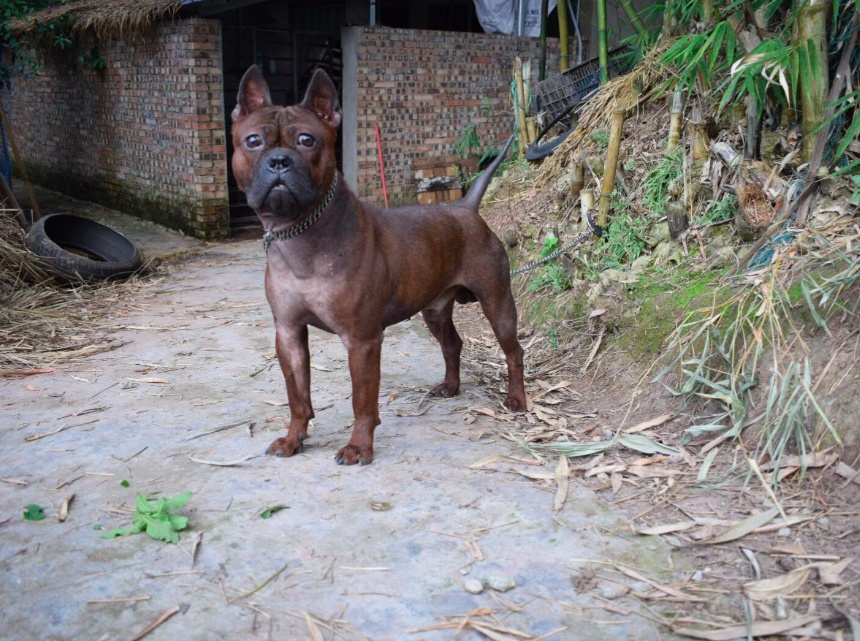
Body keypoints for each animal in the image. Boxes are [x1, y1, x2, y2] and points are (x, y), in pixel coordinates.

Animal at [232, 66, 528, 464]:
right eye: (252, 141)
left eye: (307, 140)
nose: (279, 160)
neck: (301, 235)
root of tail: (465, 208)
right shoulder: (289, 334)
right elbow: (298, 397)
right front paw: (294, 438)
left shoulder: (362, 341)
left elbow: (363, 401)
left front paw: (359, 447)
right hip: (435, 310)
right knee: (452, 344)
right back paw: (450, 386)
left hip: (498, 305)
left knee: (514, 352)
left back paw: (517, 399)